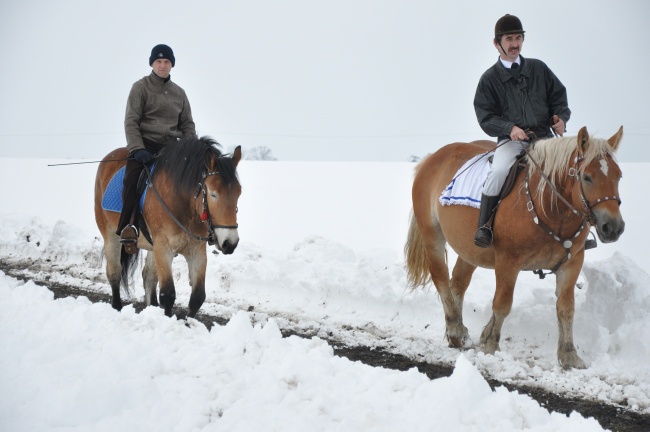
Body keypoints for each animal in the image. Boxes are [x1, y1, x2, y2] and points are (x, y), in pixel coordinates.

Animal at [93, 138, 240, 318]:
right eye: (213, 194)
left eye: (238, 193)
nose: (230, 243)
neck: (183, 204)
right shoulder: (164, 247)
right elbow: (168, 294)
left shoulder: (196, 250)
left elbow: (197, 297)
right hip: (111, 235)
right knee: (114, 272)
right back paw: (117, 308)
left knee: (148, 276)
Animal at [404, 126, 624, 370]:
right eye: (587, 177)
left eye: (618, 176)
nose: (613, 227)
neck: (551, 208)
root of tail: (433, 158)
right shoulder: (508, 262)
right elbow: (502, 304)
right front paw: (491, 344)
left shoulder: (572, 263)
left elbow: (566, 308)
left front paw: (569, 355)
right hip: (432, 235)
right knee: (441, 277)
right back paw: (455, 330)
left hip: (469, 249)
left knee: (458, 282)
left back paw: (458, 331)